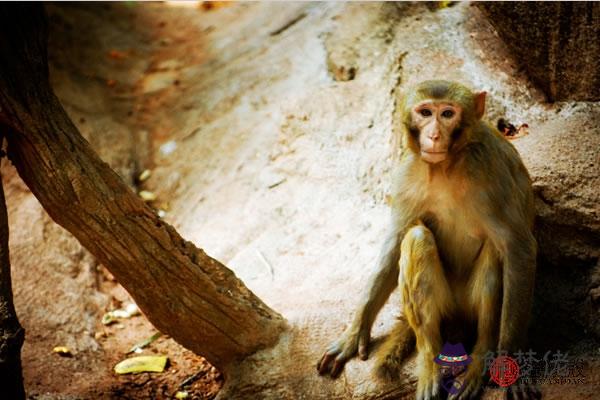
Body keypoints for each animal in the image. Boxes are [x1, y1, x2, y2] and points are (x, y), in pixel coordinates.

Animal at [318, 81, 540, 400]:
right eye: (425, 113)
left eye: (447, 114)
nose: (433, 135)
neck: (447, 165)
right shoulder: (405, 176)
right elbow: (396, 241)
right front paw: (354, 332)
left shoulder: (492, 172)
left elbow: (518, 247)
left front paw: (513, 366)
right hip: (447, 304)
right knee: (417, 238)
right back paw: (430, 362)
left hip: (467, 305)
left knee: (495, 253)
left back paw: (480, 360)